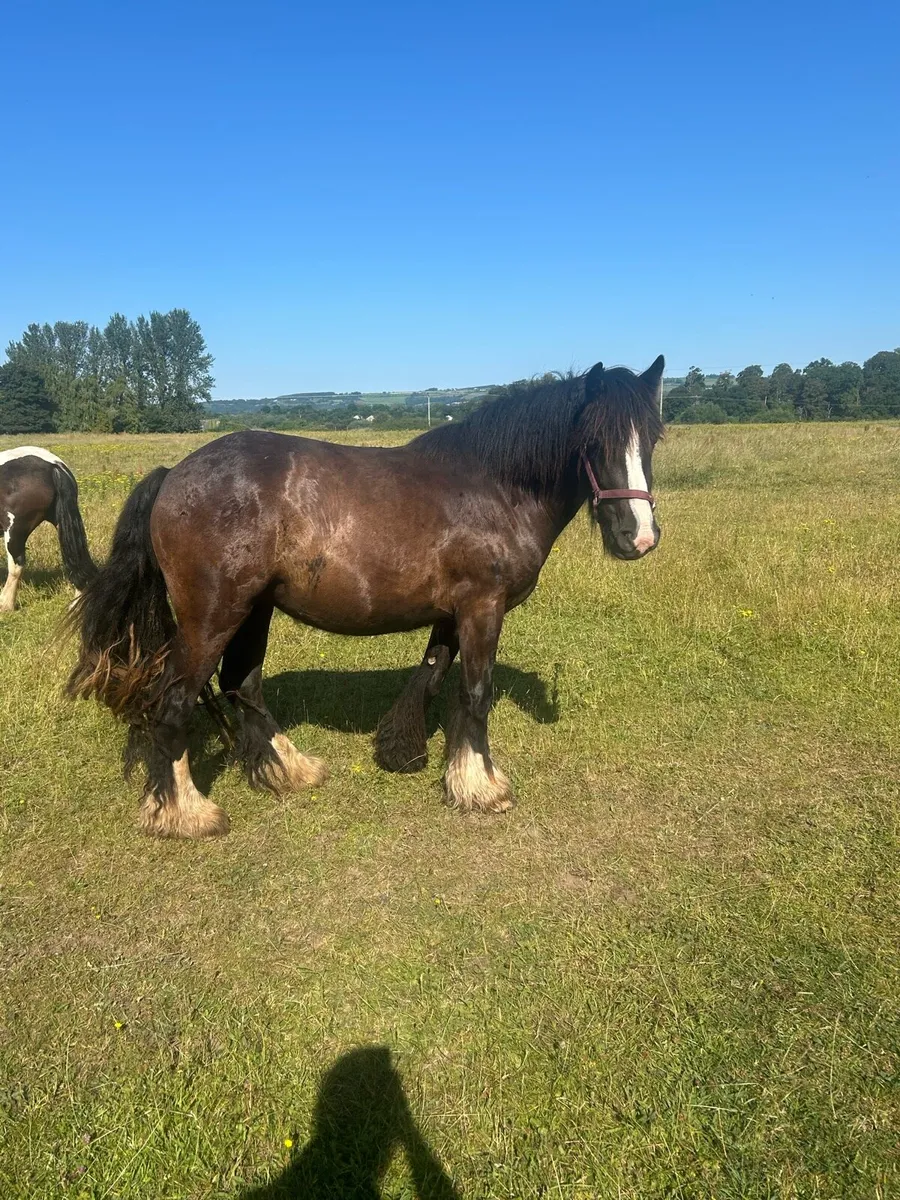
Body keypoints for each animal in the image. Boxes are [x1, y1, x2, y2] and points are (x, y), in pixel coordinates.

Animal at [67, 356, 664, 839]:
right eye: (594, 443)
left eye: (653, 439)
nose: (638, 537)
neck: (495, 488)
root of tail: (174, 475)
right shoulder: (482, 608)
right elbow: (474, 694)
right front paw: (484, 787)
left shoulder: (452, 614)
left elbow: (433, 676)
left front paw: (412, 754)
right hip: (212, 616)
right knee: (174, 702)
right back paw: (187, 814)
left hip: (253, 610)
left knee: (243, 683)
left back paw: (289, 770)